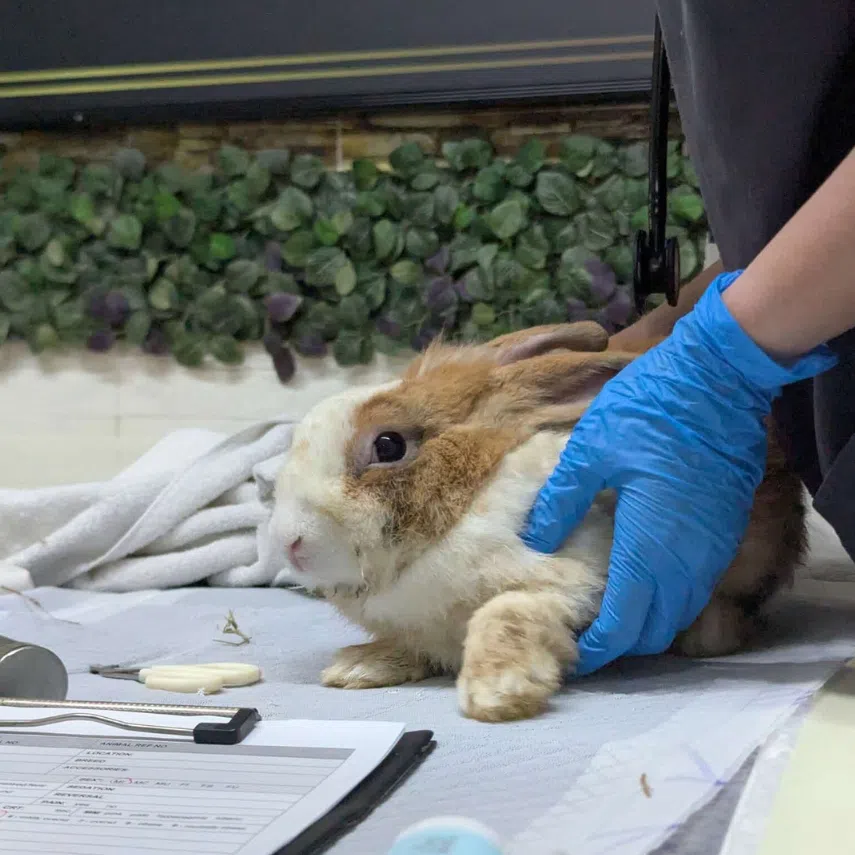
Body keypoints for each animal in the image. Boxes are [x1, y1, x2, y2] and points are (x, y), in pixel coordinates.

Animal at [272, 322, 806, 722]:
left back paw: (704, 637)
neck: (461, 512)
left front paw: (498, 692)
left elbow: (505, 612)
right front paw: (357, 668)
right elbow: (412, 646)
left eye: (388, 445)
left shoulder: (583, 581)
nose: (287, 541)